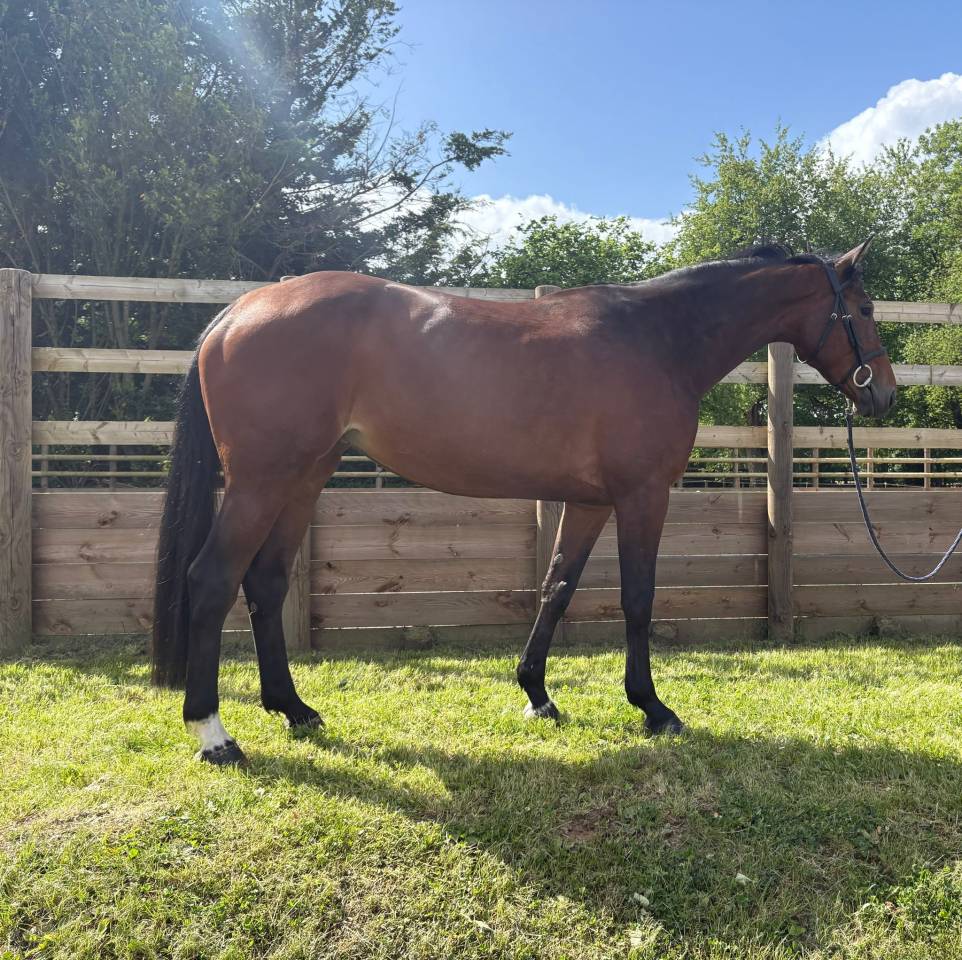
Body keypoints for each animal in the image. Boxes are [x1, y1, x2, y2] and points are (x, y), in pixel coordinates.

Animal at [151, 240, 896, 765]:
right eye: (863, 312)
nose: (883, 394)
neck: (659, 338)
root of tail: (236, 312)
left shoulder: (589, 502)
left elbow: (557, 587)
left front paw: (537, 693)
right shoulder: (642, 495)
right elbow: (637, 600)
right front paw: (653, 707)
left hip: (304, 477)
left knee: (266, 582)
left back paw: (294, 708)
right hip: (262, 481)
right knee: (212, 579)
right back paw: (214, 734)